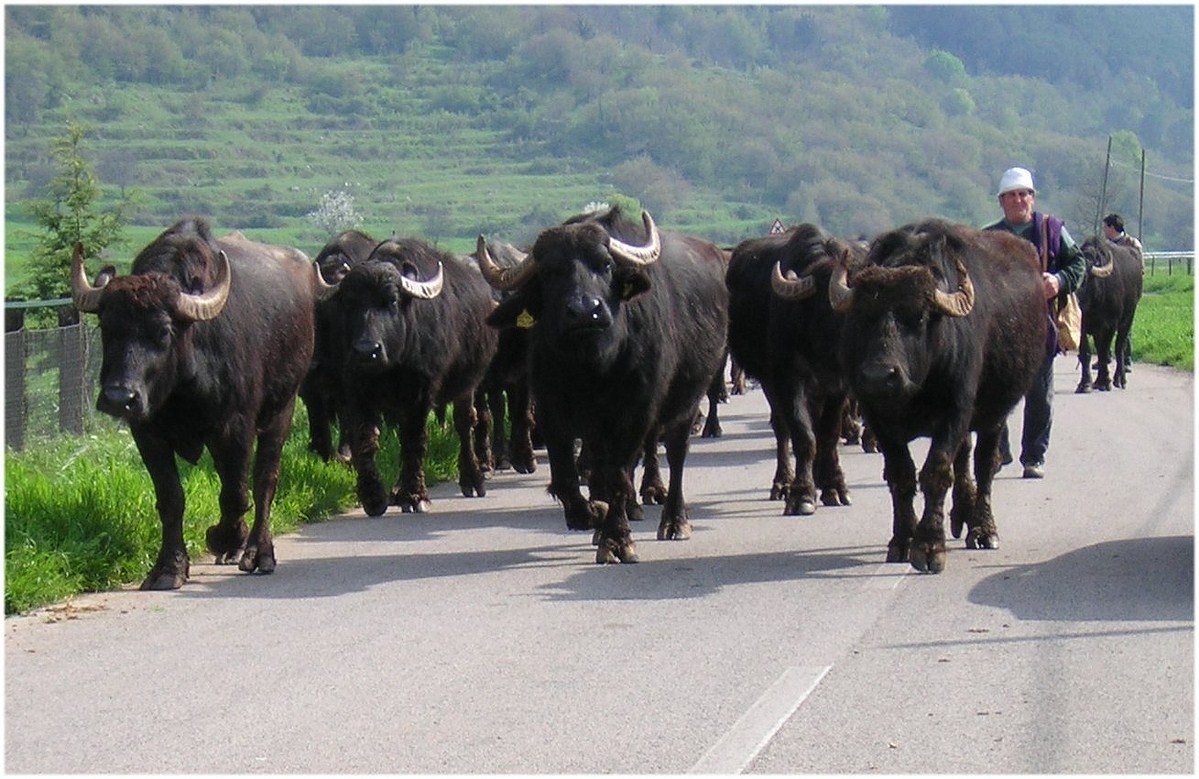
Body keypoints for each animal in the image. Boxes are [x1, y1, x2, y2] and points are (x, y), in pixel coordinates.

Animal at [70, 217, 317, 590]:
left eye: (163, 331)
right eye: (107, 327)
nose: (118, 398)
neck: (181, 391)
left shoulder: (235, 427)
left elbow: (236, 493)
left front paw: (221, 537)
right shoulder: (148, 433)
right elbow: (171, 498)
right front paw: (168, 568)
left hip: (283, 408)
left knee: (265, 479)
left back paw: (258, 552)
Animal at [319, 237, 498, 516]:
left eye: (391, 301)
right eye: (350, 303)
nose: (367, 351)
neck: (391, 367)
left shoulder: (420, 393)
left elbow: (414, 440)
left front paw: (415, 496)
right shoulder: (356, 389)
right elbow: (366, 439)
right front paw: (374, 497)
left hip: (468, 385)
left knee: (465, 423)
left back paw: (472, 478)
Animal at [478, 205, 728, 563]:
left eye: (606, 265)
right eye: (550, 272)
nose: (586, 311)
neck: (593, 369)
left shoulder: (634, 413)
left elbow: (618, 473)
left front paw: (616, 539)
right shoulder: (553, 411)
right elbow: (567, 477)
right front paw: (592, 513)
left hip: (688, 399)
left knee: (676, 453)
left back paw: (674, 521)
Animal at [832, 219, 1046, 573]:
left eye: (918, 316)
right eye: (862, 316)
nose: (879, 376)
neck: (915, 390)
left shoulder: (955, 410)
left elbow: (937, 471)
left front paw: (930, 546)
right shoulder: (879, 418)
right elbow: (901, 475)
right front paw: (903, 540)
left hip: (995, 414)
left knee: (985, 464)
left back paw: (983, 529)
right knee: (965, 457)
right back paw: (961, 514)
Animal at [1075, 237, 1143, 393]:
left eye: (1084, 279)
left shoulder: (1110, 325)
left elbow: (1104, 352)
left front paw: (1104, 382)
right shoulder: (1082, 326)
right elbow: (1085, 353)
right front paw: (1085, 383)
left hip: (1128, 318)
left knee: (1120, 347)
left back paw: (1120, 379)